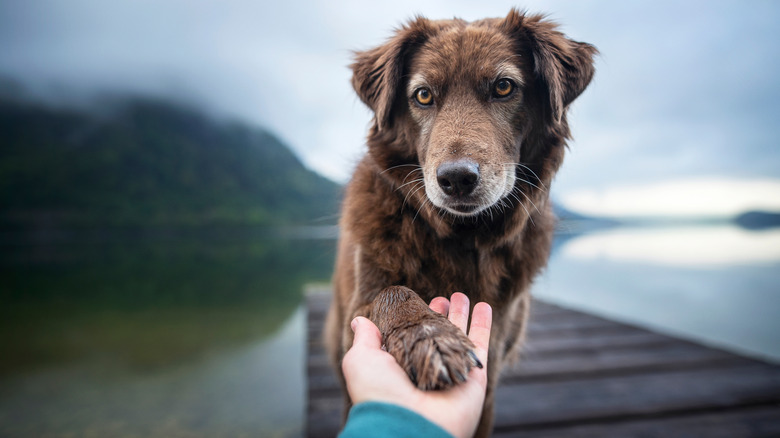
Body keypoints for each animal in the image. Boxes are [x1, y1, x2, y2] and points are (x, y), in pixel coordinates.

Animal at [326, 8, 596, 436]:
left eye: (503, 87)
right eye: (423, 95)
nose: (456, 179)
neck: (462, 239)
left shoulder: (492, 373)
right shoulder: (360, 305)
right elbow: (394, 293)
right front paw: (430, 337)